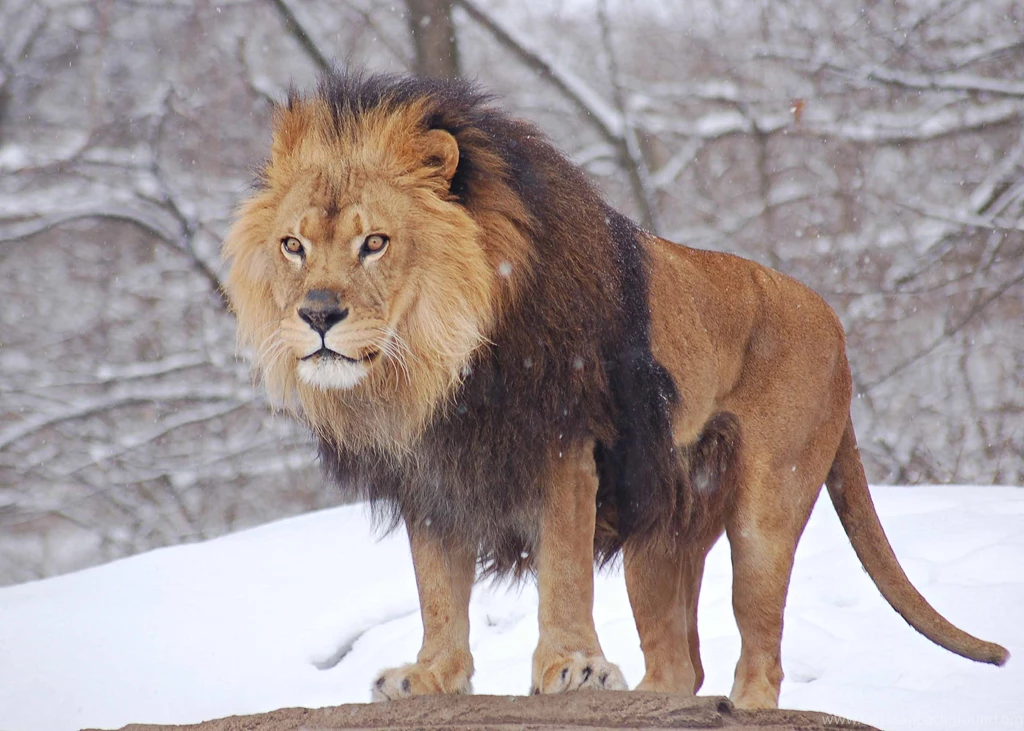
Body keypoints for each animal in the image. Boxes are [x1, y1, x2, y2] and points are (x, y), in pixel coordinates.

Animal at [222, 72, 1008, 710]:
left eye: (375, 243)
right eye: (293, 246)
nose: (318, 315)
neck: (436, 368)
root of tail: (836, 327)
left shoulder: (564, 440)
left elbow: (564, 566)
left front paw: (571, 666)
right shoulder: (433, 476)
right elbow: (438, 588)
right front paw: (431, 675)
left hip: (766, 509)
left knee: (760, 650)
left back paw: (739, 703)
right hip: (659, 537)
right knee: (681, 663)